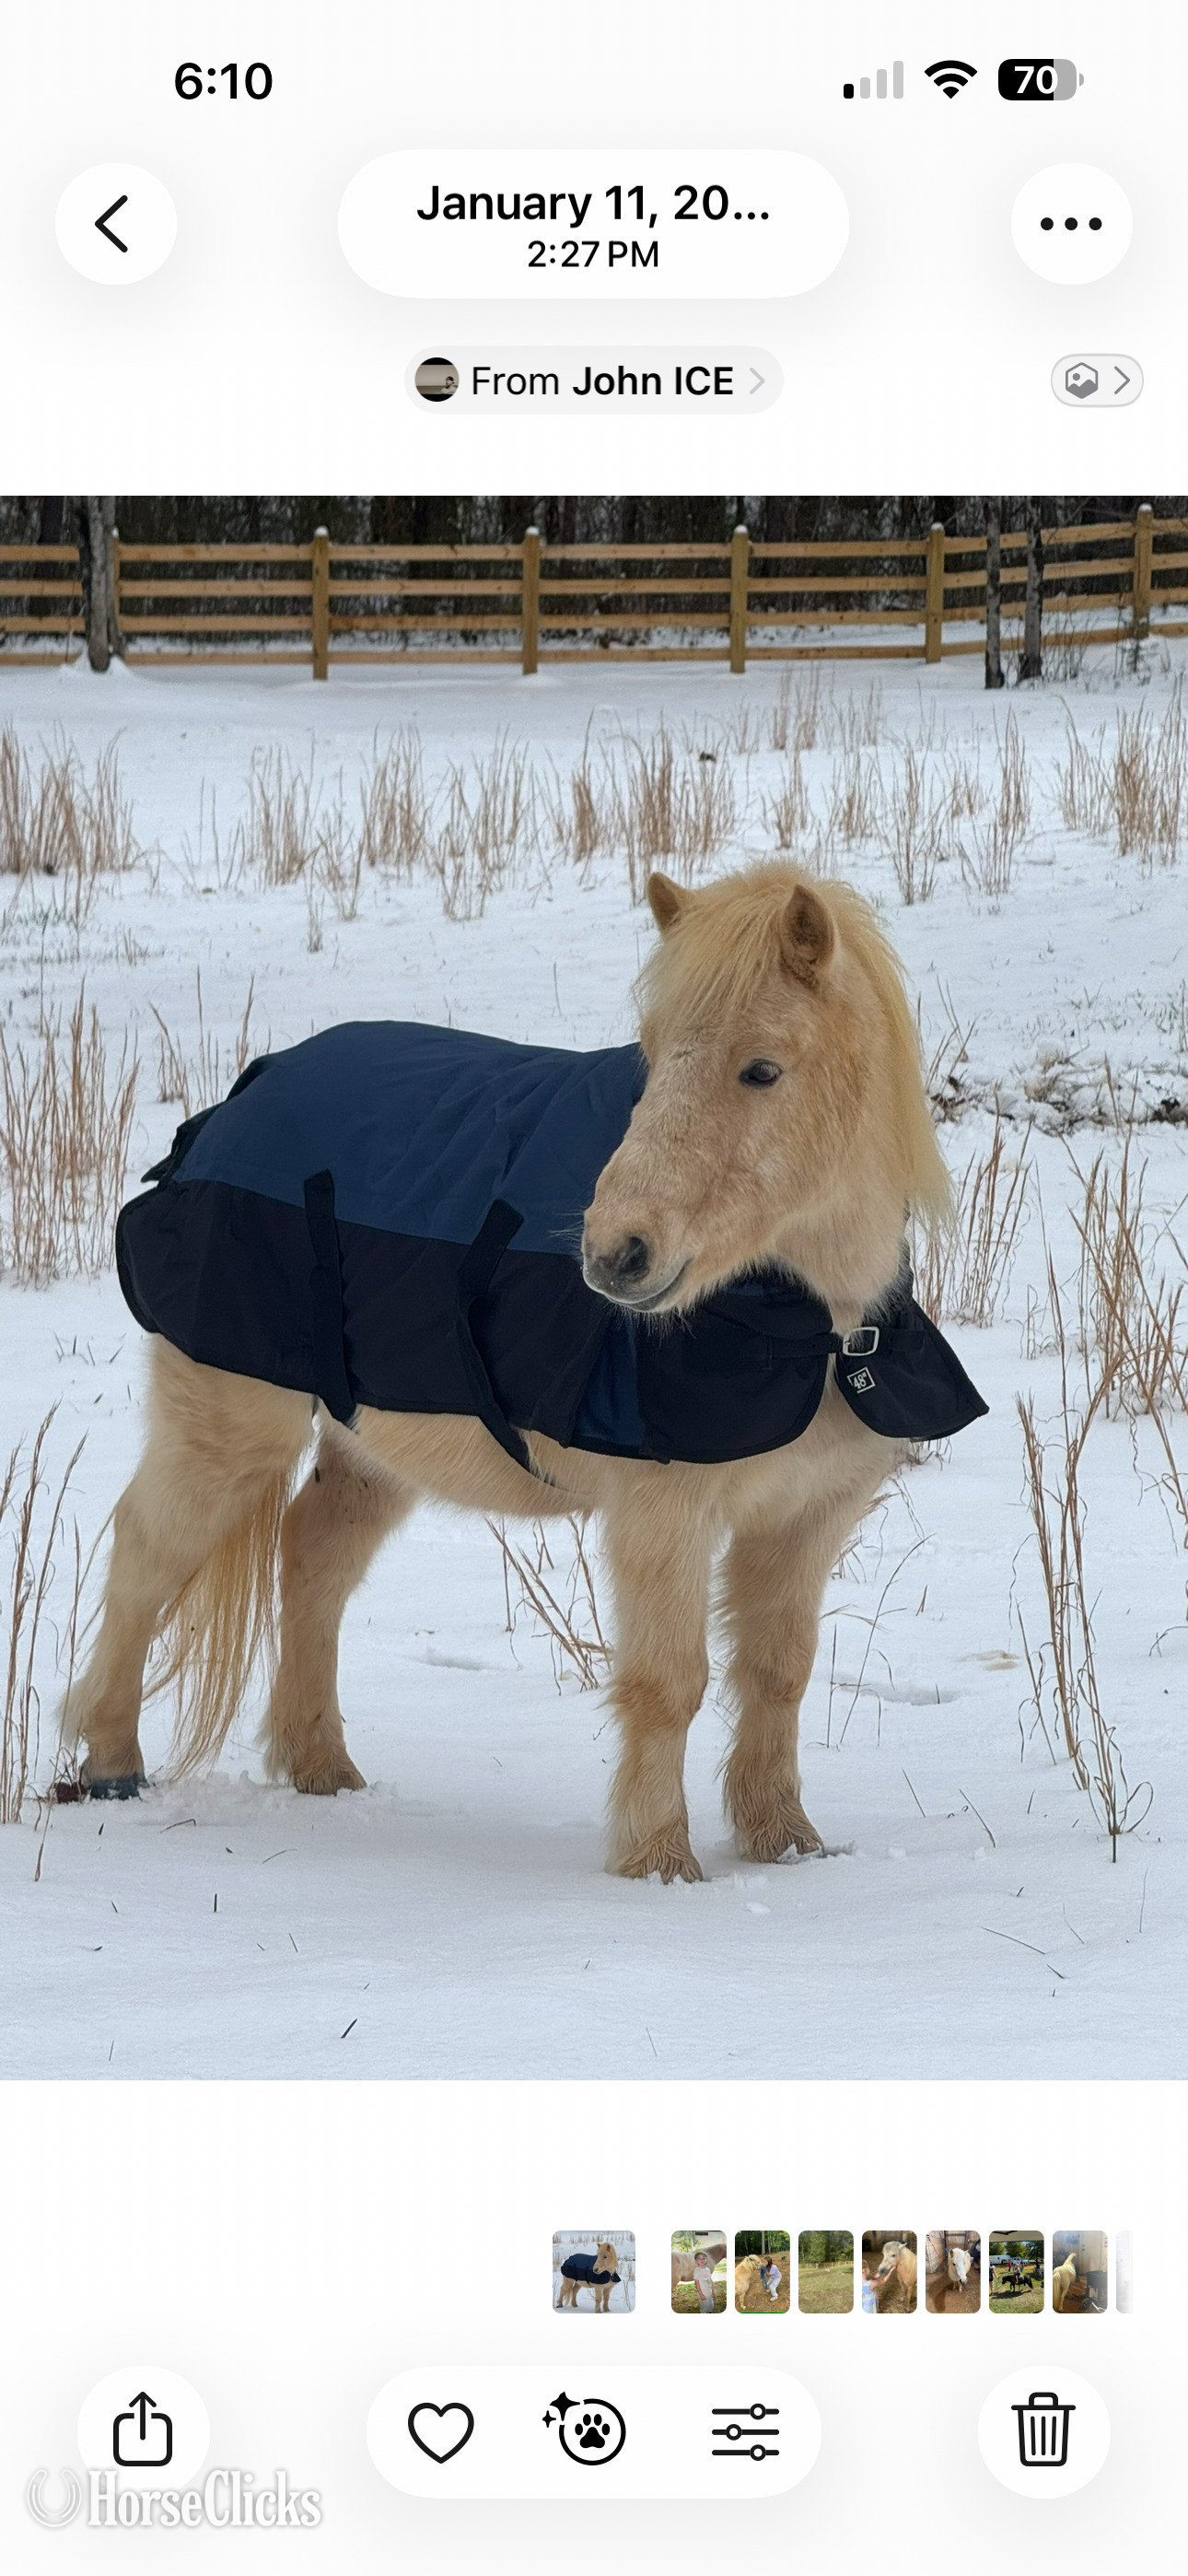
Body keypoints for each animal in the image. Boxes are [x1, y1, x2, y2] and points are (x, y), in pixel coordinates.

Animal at [63, 864, 957, 1884]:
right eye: (653, 1058)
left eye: (761, 1069)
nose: (615, 1258)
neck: (811, 1334)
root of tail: (231, 1110)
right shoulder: (665, 1521)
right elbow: (670, 1684)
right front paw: (660, 1862)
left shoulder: (807, 1519)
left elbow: (780, 1673)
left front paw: (787, 1845)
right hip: (227, 1427)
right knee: (146, 1555)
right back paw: (111, 1764)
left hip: (368, 1444)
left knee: (312, 1561)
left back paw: (321, 1766)